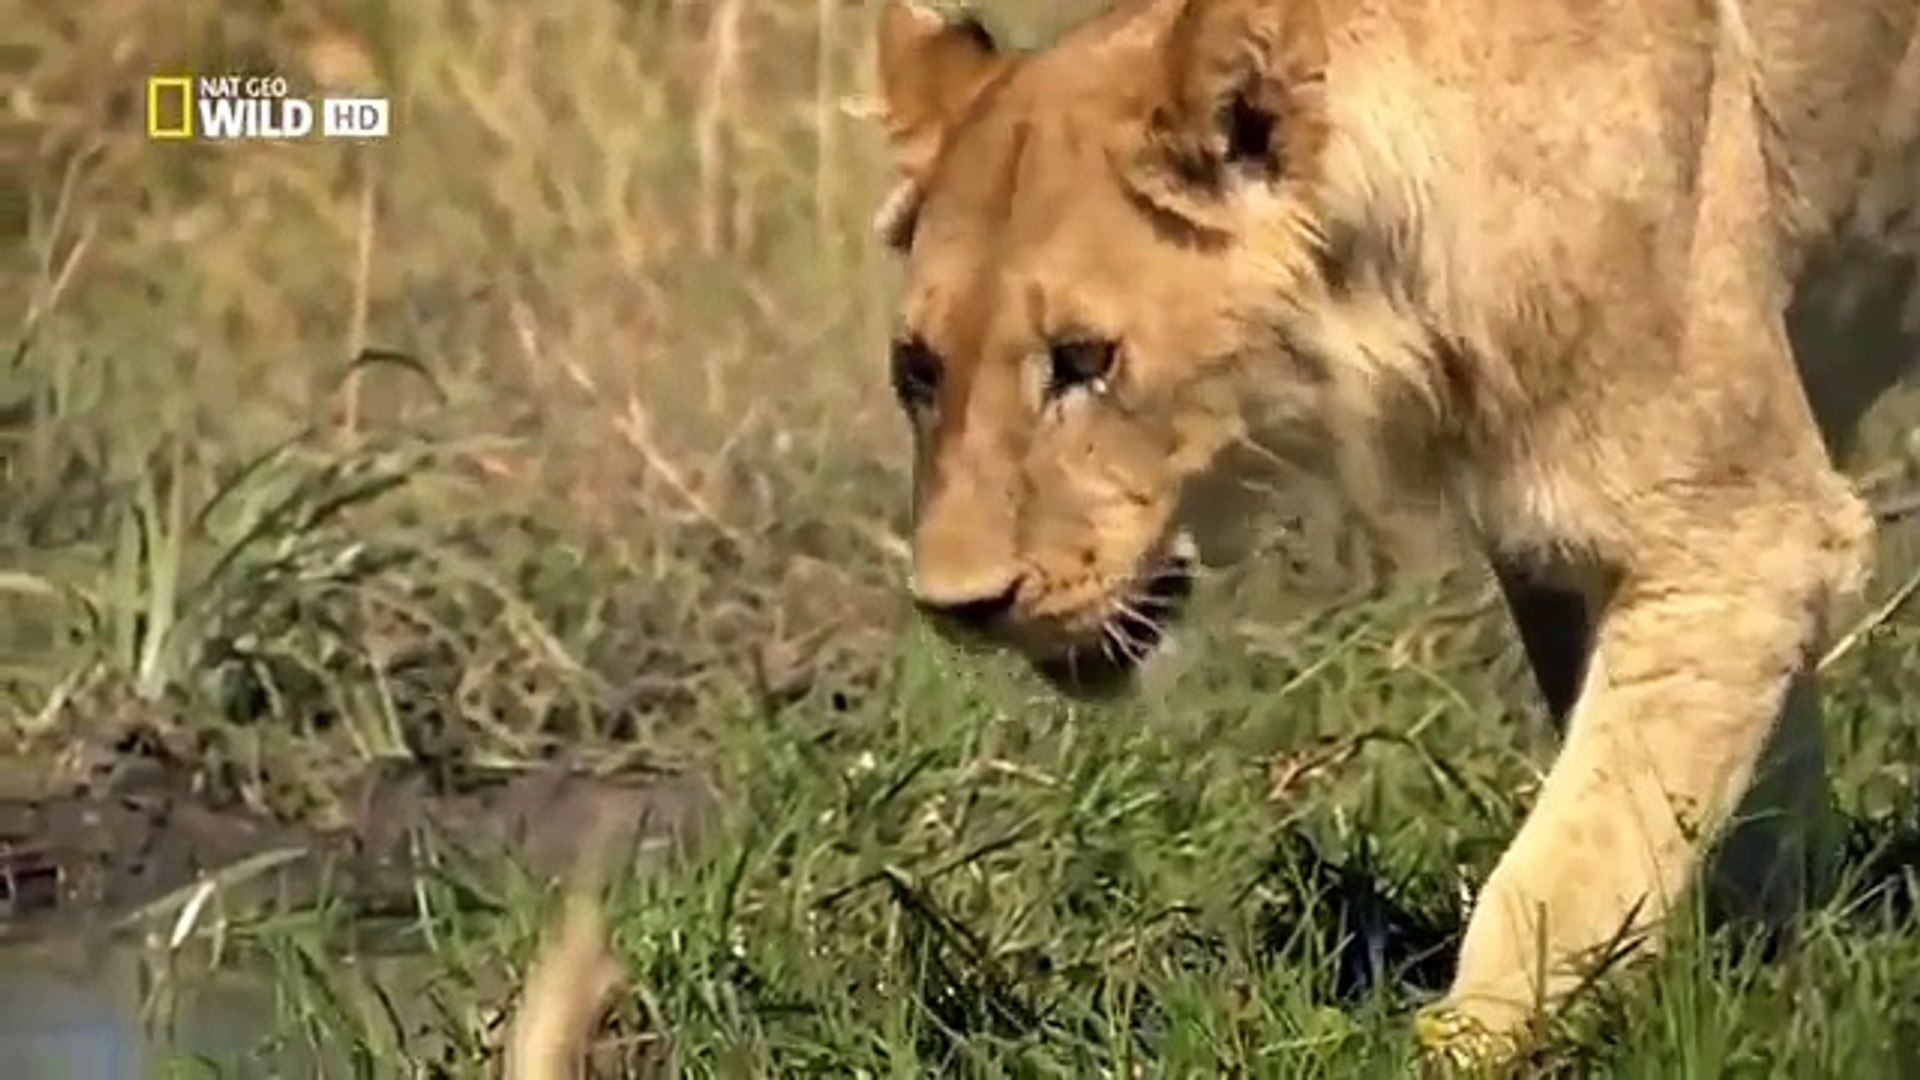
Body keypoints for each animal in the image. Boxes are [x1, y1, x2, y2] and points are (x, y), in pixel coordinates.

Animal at [864, 0, 1920, 1060]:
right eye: (917, 368)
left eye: (1083, 359)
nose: (957, 604)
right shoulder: (1575, 547)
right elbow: (1720, 789)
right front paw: (1771, 964)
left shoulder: (1741, 529)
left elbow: (1576, 846)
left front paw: (1467, 1042)